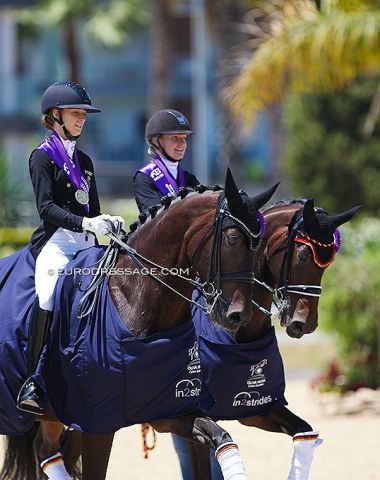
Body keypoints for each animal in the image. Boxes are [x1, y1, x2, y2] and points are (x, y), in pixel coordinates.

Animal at [0, 170, 280, 480]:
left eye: (258, 245)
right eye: (231, 239)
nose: (238, 316)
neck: (133, 299)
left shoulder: (168, 409)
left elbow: (221, 437)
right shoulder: (97, 423)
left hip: (52, 416)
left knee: (45, 448)